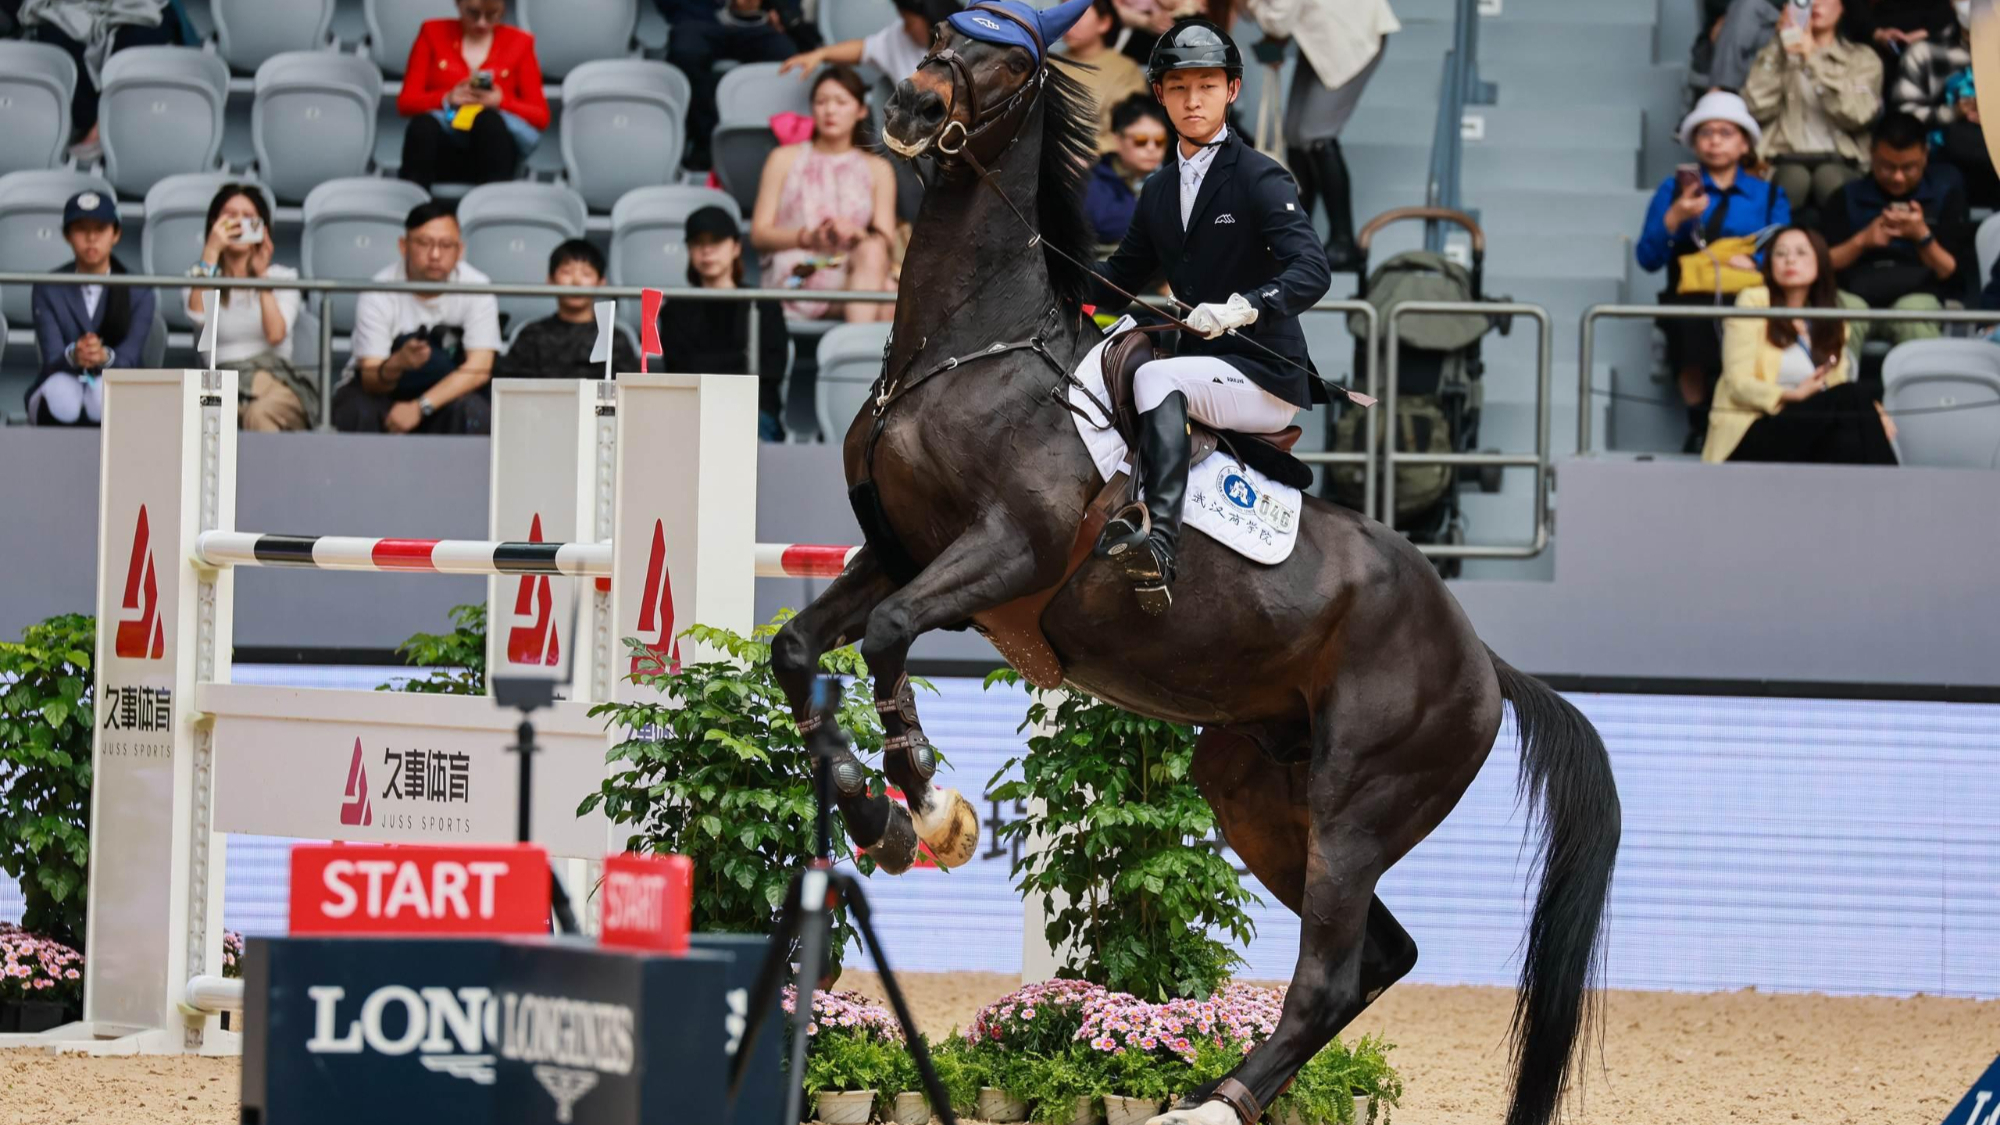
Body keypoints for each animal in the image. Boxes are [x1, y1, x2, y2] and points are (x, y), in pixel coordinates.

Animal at [765, 14, 1622, 1125]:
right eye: (949, 30)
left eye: (1006, 59)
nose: (909, 106)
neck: (966, 350)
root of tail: (1480, 658)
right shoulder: (896, 552)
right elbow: (799, 649)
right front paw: (876, 813)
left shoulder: (1004, 553)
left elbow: (886, 635)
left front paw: (921, 796)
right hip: (1252, 786)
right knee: (1379, 952)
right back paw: (1229, 1090)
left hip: (1358, 799)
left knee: (1334, 966)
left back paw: (1211, 1102)